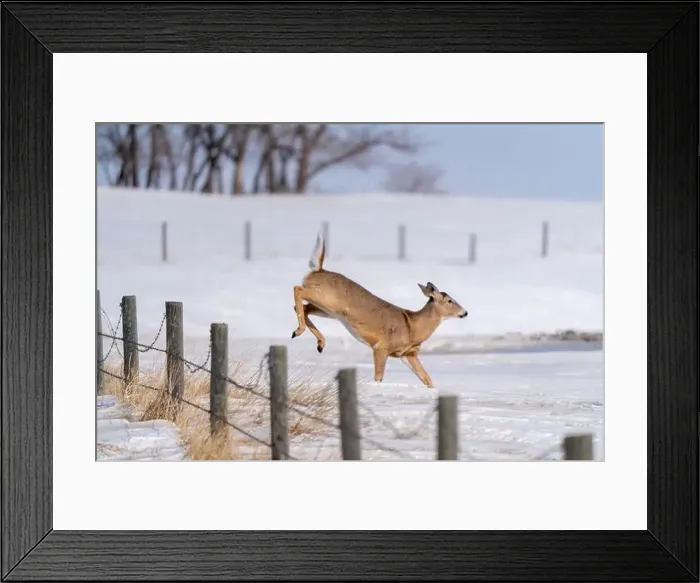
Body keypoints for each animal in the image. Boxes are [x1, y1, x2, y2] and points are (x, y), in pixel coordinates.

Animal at [290, 232, 468, 389]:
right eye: (450, 300)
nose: (465, 312)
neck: (413, 327)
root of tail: (318, 270)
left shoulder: (408, 354)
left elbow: (427, 379)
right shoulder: (381, 347)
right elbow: (378, 378)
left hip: (328, 309)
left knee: (304, 307)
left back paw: (318, 343)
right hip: (327, 300)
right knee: (297, 290)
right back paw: (299, 331)